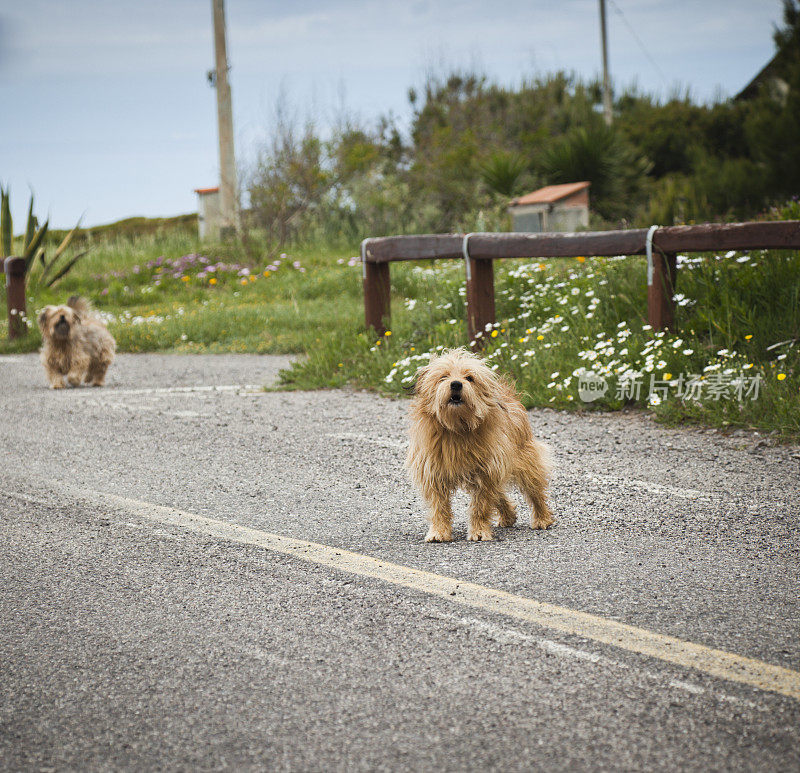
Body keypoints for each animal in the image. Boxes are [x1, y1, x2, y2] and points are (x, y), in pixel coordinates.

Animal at [406, 346, 552, 540]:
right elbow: (439, 507)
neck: (457, 428)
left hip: (525, 461)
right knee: (499, 493)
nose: (456, 384)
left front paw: (480, 531)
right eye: (443, 376)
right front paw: (439, 531)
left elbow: (481, 506)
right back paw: (508, 516)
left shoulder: (486, 472)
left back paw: (542, 518)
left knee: (534, 490)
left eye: (469, 378)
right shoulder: (435, 473)